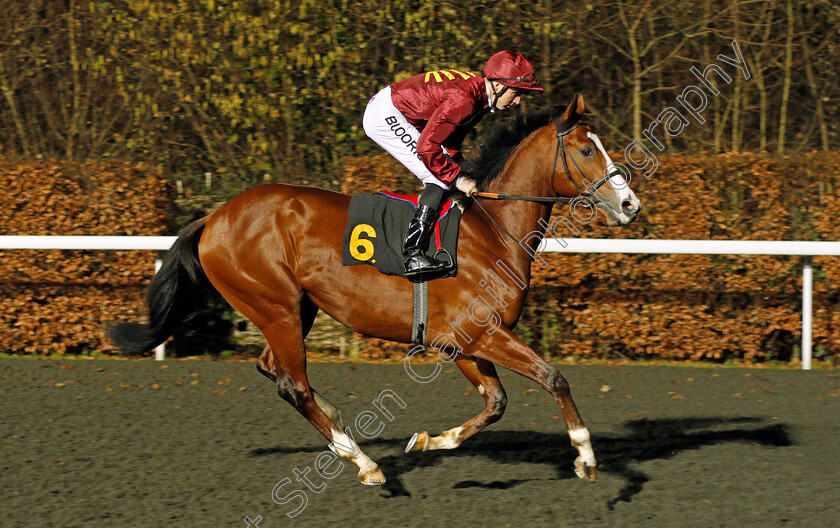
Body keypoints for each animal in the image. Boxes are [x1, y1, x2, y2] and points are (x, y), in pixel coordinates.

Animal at [108, 94, 640, 486]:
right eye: (588, 149)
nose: (631, 204)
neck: (493, 230)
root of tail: (214, 217)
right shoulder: (480, 334)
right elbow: (553, 378)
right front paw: (587, 456)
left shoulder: (461, 342)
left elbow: (495, 403)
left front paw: (427, 440)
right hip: (276, 306)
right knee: (291, 382)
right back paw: (362, 461)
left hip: (295, 308)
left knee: (274, 370)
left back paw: (338, 425)